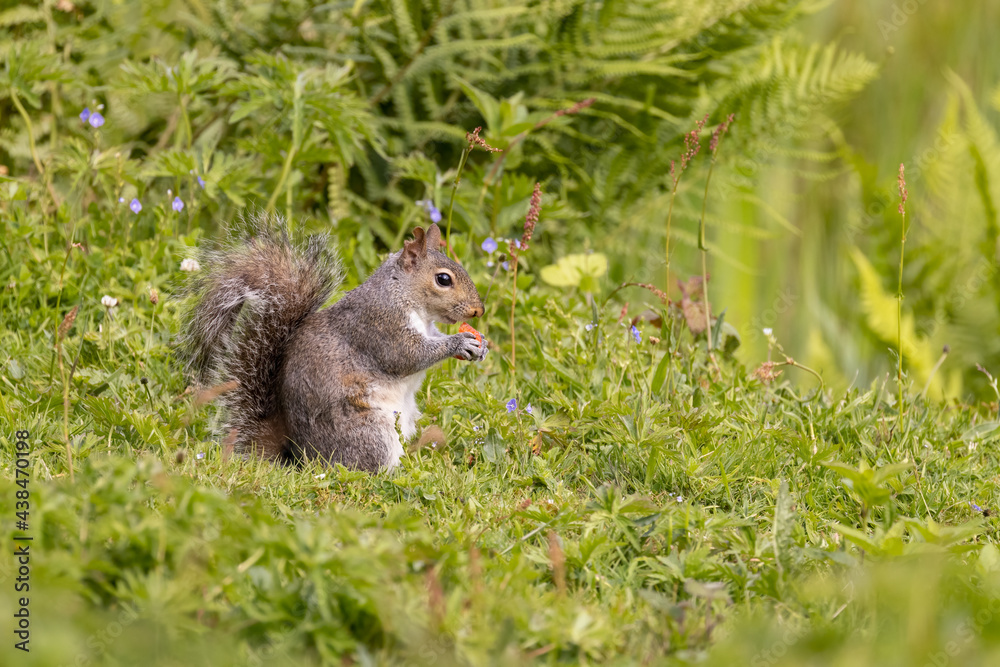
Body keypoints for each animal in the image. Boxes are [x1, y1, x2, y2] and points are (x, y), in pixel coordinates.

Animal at [181, 213, 487, 472]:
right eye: (443, 279)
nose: (478, 311)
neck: (405, 296)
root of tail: (300, 457)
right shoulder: (381, 326)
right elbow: (408, 356)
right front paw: (460, 343)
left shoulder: (426, 328)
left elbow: (433, 339)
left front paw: (480, 345)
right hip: (371, 431)